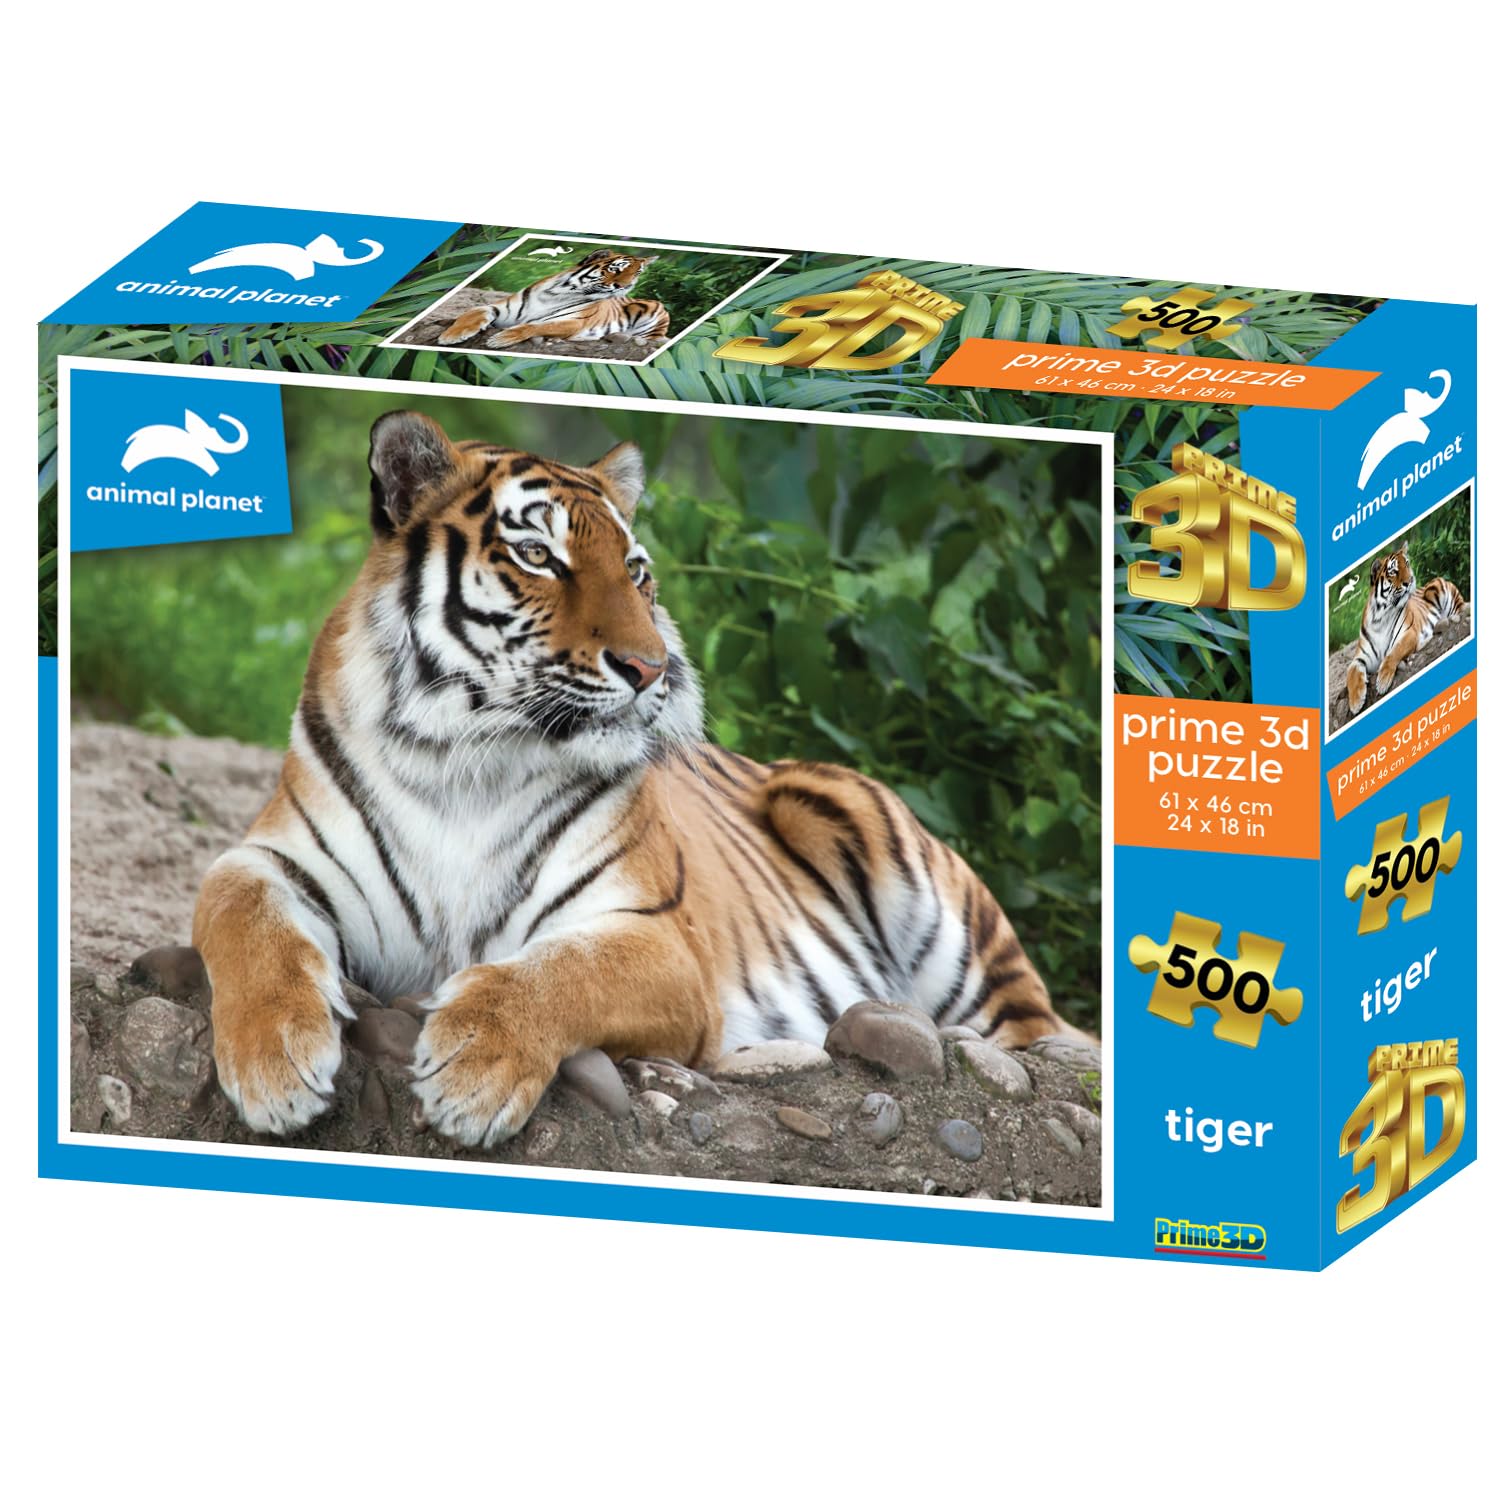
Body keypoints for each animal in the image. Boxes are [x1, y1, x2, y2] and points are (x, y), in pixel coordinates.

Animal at [193, 411, 1083, 1146]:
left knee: (1040, 1034)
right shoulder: (270, 858)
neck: (466, 755)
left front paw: (473, 1072)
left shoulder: (656, 938)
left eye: (636, 570)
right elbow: (245, 918)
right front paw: (275, 1066)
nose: (651, 668)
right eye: (538, 555)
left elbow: (558, 973)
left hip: (885, 854)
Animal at [436, 248, 668, 350]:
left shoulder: (573, 322)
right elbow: (474, 312)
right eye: (616, 268)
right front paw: (451, 336)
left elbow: (535, 325)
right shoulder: (501, 307)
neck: (556, 293)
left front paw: (501, 338)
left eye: (637, 272)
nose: (626, 286)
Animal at [1345, 539, 1465, 716]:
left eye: (1407, 563)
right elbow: (1352, 672)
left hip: (1437, 588)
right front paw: (1355, 702)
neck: (1380, 617)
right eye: (1393, 571)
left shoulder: (1408, 634)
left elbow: (1393, 653)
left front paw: (1382, 681)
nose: (1411, 580)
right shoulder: (1360, 657)